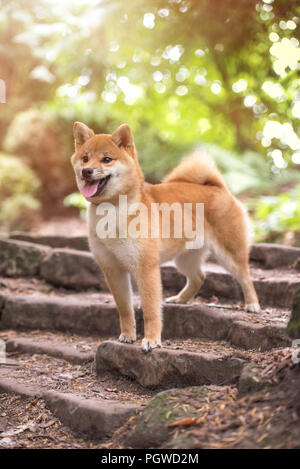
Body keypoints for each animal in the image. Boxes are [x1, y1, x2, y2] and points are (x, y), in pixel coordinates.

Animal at [71, 122, 260, 350]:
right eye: (85, 158)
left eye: (107, 159)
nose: (86, 171)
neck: (113, 211)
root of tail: (218, 187)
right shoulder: (113, 270)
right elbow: (125, 309)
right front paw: (128, 335)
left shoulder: (146, 268)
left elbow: (150, 310)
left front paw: (152, 340)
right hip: (185, 258)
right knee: (199, 277)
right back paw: (181, 299)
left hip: (229, 254)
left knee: (245, 277)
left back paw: (252, 304)